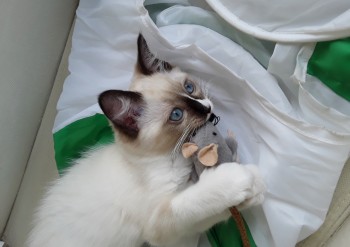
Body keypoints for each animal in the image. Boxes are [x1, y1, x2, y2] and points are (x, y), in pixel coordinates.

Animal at [28, 34, 266, 247]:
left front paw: (253, 189)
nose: (207, 108)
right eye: (177, 115)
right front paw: (238, 178)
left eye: (189, 88)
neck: (171, 156)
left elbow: (211, 213)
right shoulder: (161, 224)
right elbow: (196, 200)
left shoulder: (180, 230)